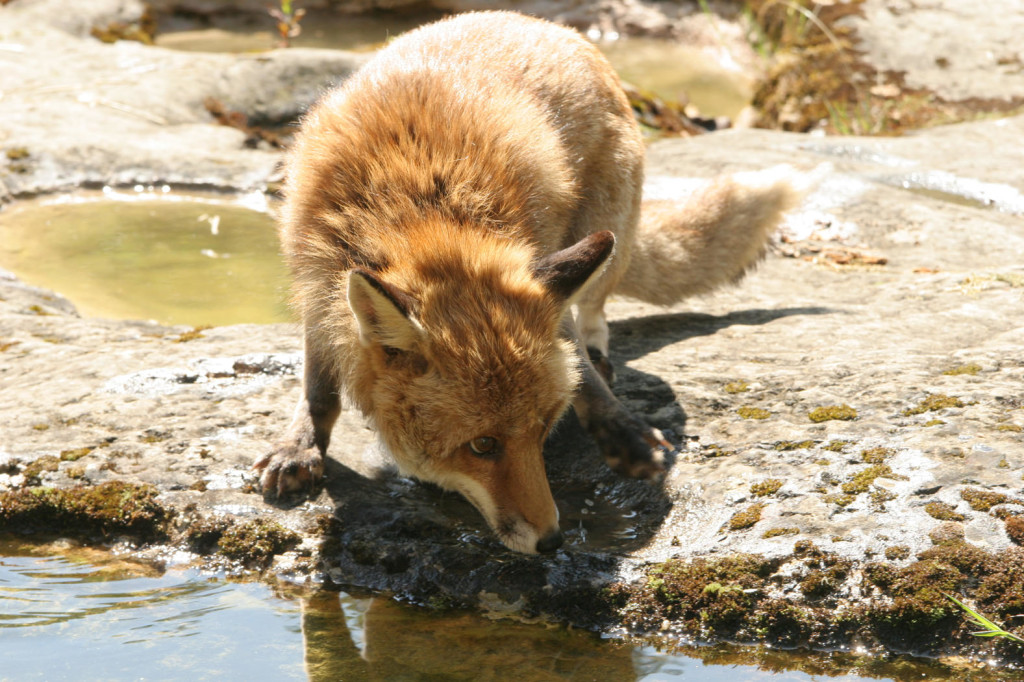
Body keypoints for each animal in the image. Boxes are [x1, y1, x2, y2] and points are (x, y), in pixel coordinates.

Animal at [254, 11, 803, 554]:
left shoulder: (536, 258)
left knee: (595, 313)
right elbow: (318, 388)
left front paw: (619, 428)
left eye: (542, 429)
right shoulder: (313, 281)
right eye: (482, 445)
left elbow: (578, 363)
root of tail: (540, 22)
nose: (553, 541)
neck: (418, 206)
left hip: (605, 232)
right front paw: (300, 445)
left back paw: (601, 357)